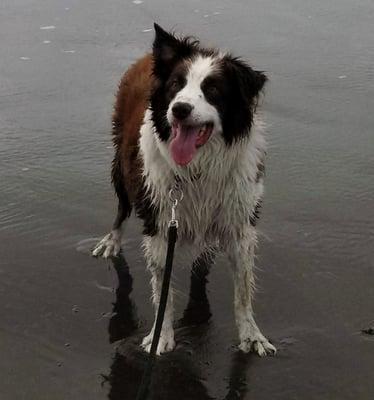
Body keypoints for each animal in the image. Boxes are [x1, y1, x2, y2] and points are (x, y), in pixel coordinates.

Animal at [92, 24, 276, 356]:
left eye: (213, 89)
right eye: (177, 85)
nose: (179, 109)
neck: (199, 166)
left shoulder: (240, 223)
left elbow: (243, 289)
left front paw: (251, 334)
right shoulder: (161, 221)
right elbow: (162, 289)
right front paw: (160, 337)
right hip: (122, 166)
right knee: (122, 207)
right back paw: (111, 241)